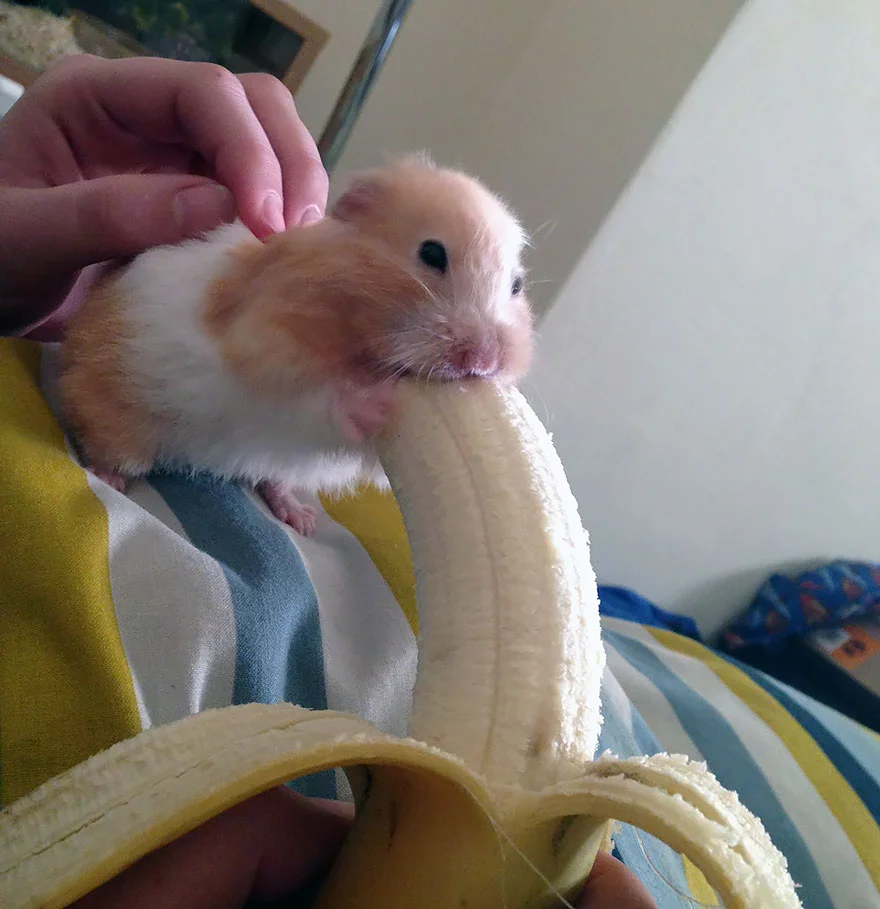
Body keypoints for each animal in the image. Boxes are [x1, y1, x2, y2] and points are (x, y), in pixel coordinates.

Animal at [58, 155, 534, 536]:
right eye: (432, 253)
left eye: (516, 285)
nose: (483, 361)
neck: (352, 335)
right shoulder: (264, 354)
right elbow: (319, 400)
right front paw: (379, 403)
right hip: (118, 413)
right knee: (103, 438)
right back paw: (106, 478)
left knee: (272, 479)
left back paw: (301, 520)